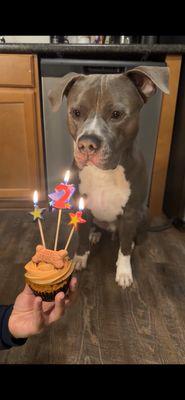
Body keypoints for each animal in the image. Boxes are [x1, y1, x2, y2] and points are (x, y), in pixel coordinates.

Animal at [48, 67, 169, 290]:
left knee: (129, 237)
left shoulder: (130, 211)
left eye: (117, 114)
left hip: (143, 212)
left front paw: (124, 272)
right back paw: (95, 233)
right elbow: (81, 239)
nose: (87, 144)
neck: (104, 171)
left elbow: (124, 250)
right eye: (76, 112)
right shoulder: (81, 204)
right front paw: (80, 258)